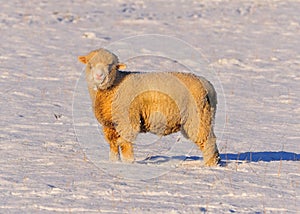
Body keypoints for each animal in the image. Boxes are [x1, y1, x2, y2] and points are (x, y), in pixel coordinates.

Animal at [78, 49, 220, 167]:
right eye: (90, 65)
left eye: (110, 67)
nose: (99, 76)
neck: (115, 85)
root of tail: (206, 84)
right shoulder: (109, 124)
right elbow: (113, 144)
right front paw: (113, 162)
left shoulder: (127, 121)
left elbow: (124, 143)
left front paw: (129, 163)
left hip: (197, 116)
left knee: (208, 141)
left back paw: (210, 165)